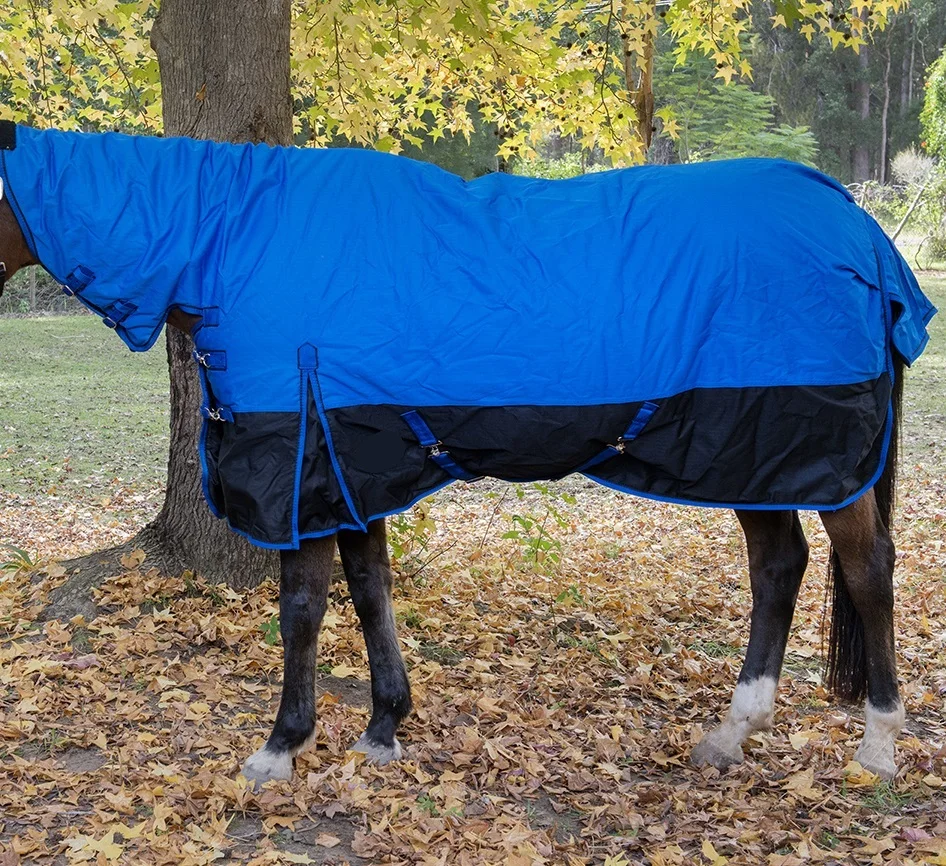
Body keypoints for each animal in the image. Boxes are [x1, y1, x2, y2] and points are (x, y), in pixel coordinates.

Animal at [0, 120, 934, 788]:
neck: (234, 238)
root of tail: (860, 230)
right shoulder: (355, 467)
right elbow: (370, 594)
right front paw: (384, 727)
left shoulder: (305, 471)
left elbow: (303, 610)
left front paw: (281, 747)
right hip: (753, 450)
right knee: (781, 567)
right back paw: (731, 734)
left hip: (808, 450)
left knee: (868, 569)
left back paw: (878, 746)